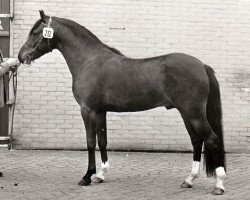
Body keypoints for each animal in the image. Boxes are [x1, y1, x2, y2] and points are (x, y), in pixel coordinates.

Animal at [16, 10, 227, 195]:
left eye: (35, 33)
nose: (20, 56)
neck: (89, 60)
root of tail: (202, 65)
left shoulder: (87, 110)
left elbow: (90, 142)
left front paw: (87, 176)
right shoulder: (100, 111)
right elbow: (102, 140)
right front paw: (101, 175)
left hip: (194, 113)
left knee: (212, 140)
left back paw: (219, 185)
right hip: (187, 114)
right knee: (197, 141)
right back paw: (189, 180)